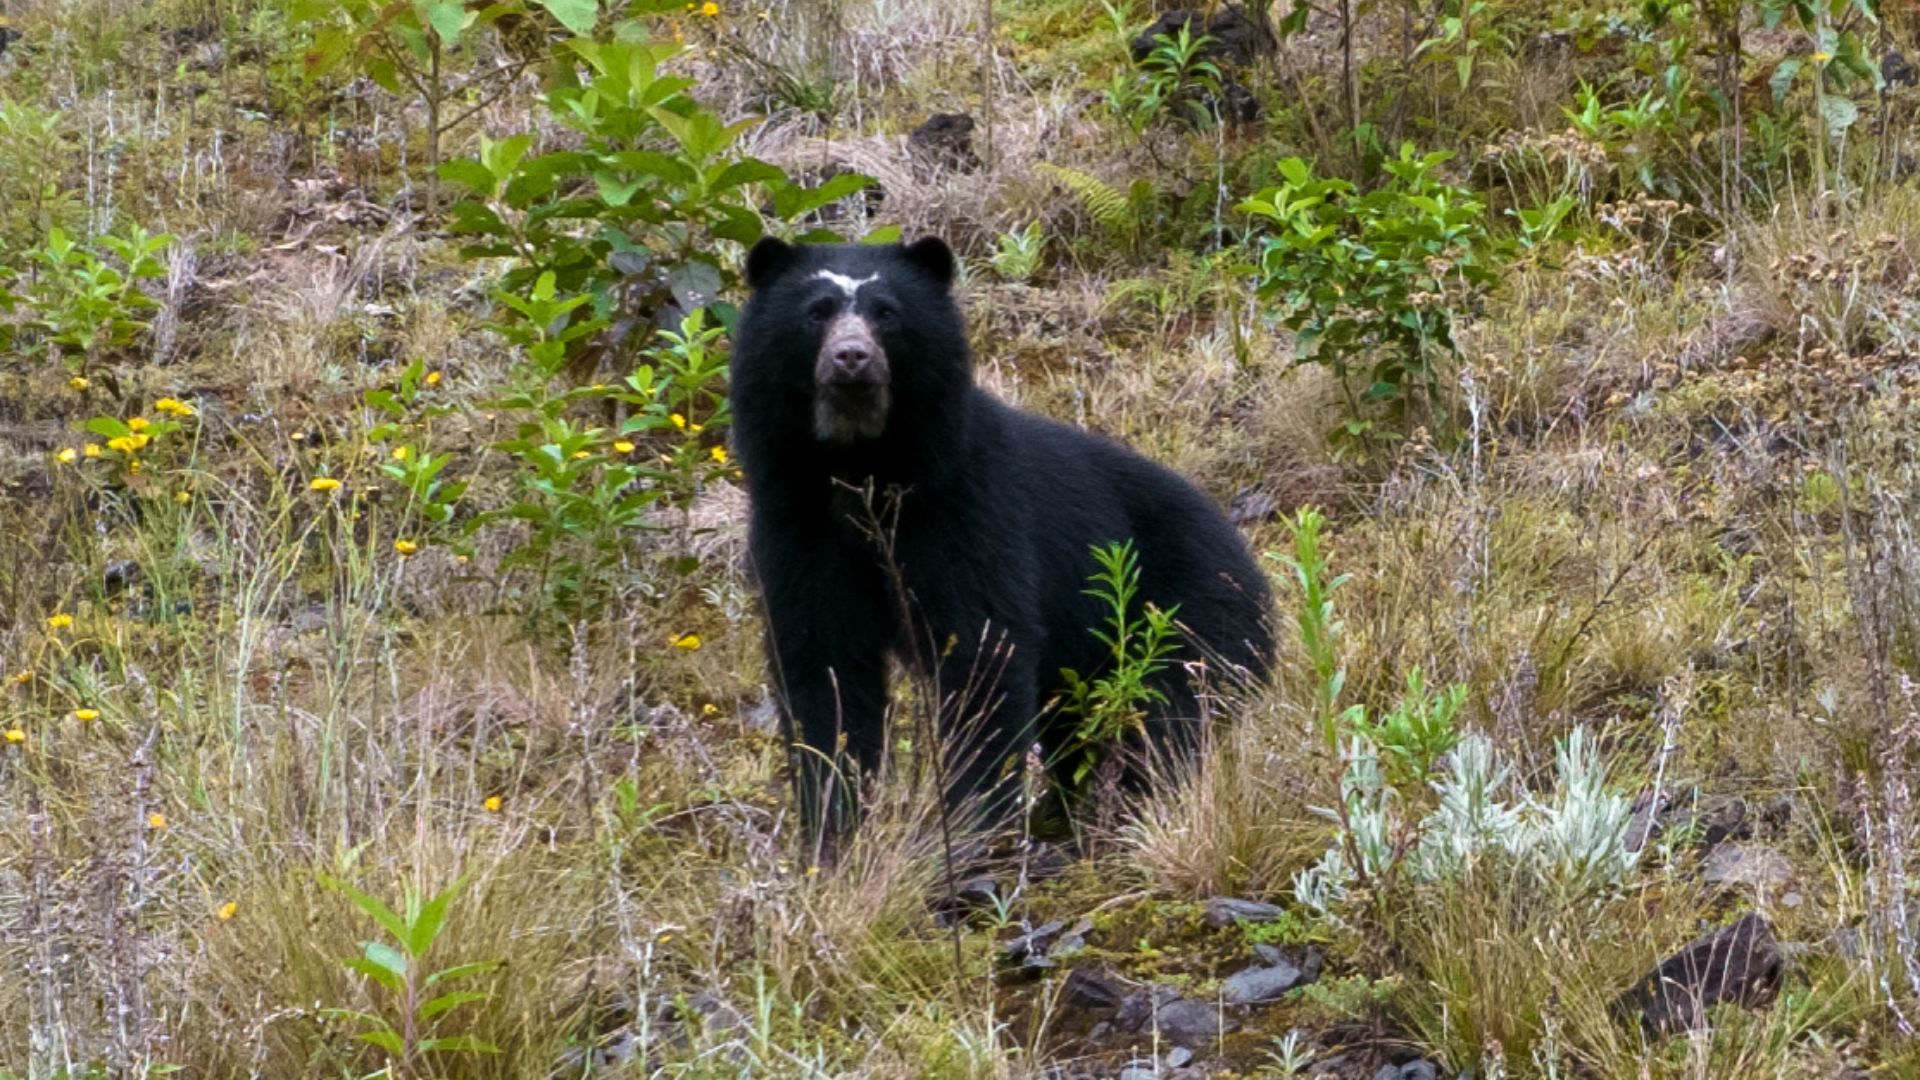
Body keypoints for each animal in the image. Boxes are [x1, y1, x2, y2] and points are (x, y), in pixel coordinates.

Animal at [730, 236, 1273, 847]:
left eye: (887, 313)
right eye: (817, 312)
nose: (852, 358)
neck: (862, 465)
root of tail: (1246, 557)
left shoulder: (967, 510)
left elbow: (982, 650)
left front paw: (977, 829)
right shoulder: (796, 526)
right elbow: (823, 669)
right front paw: (833, 831)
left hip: (1186, 611)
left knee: (1170, 712)